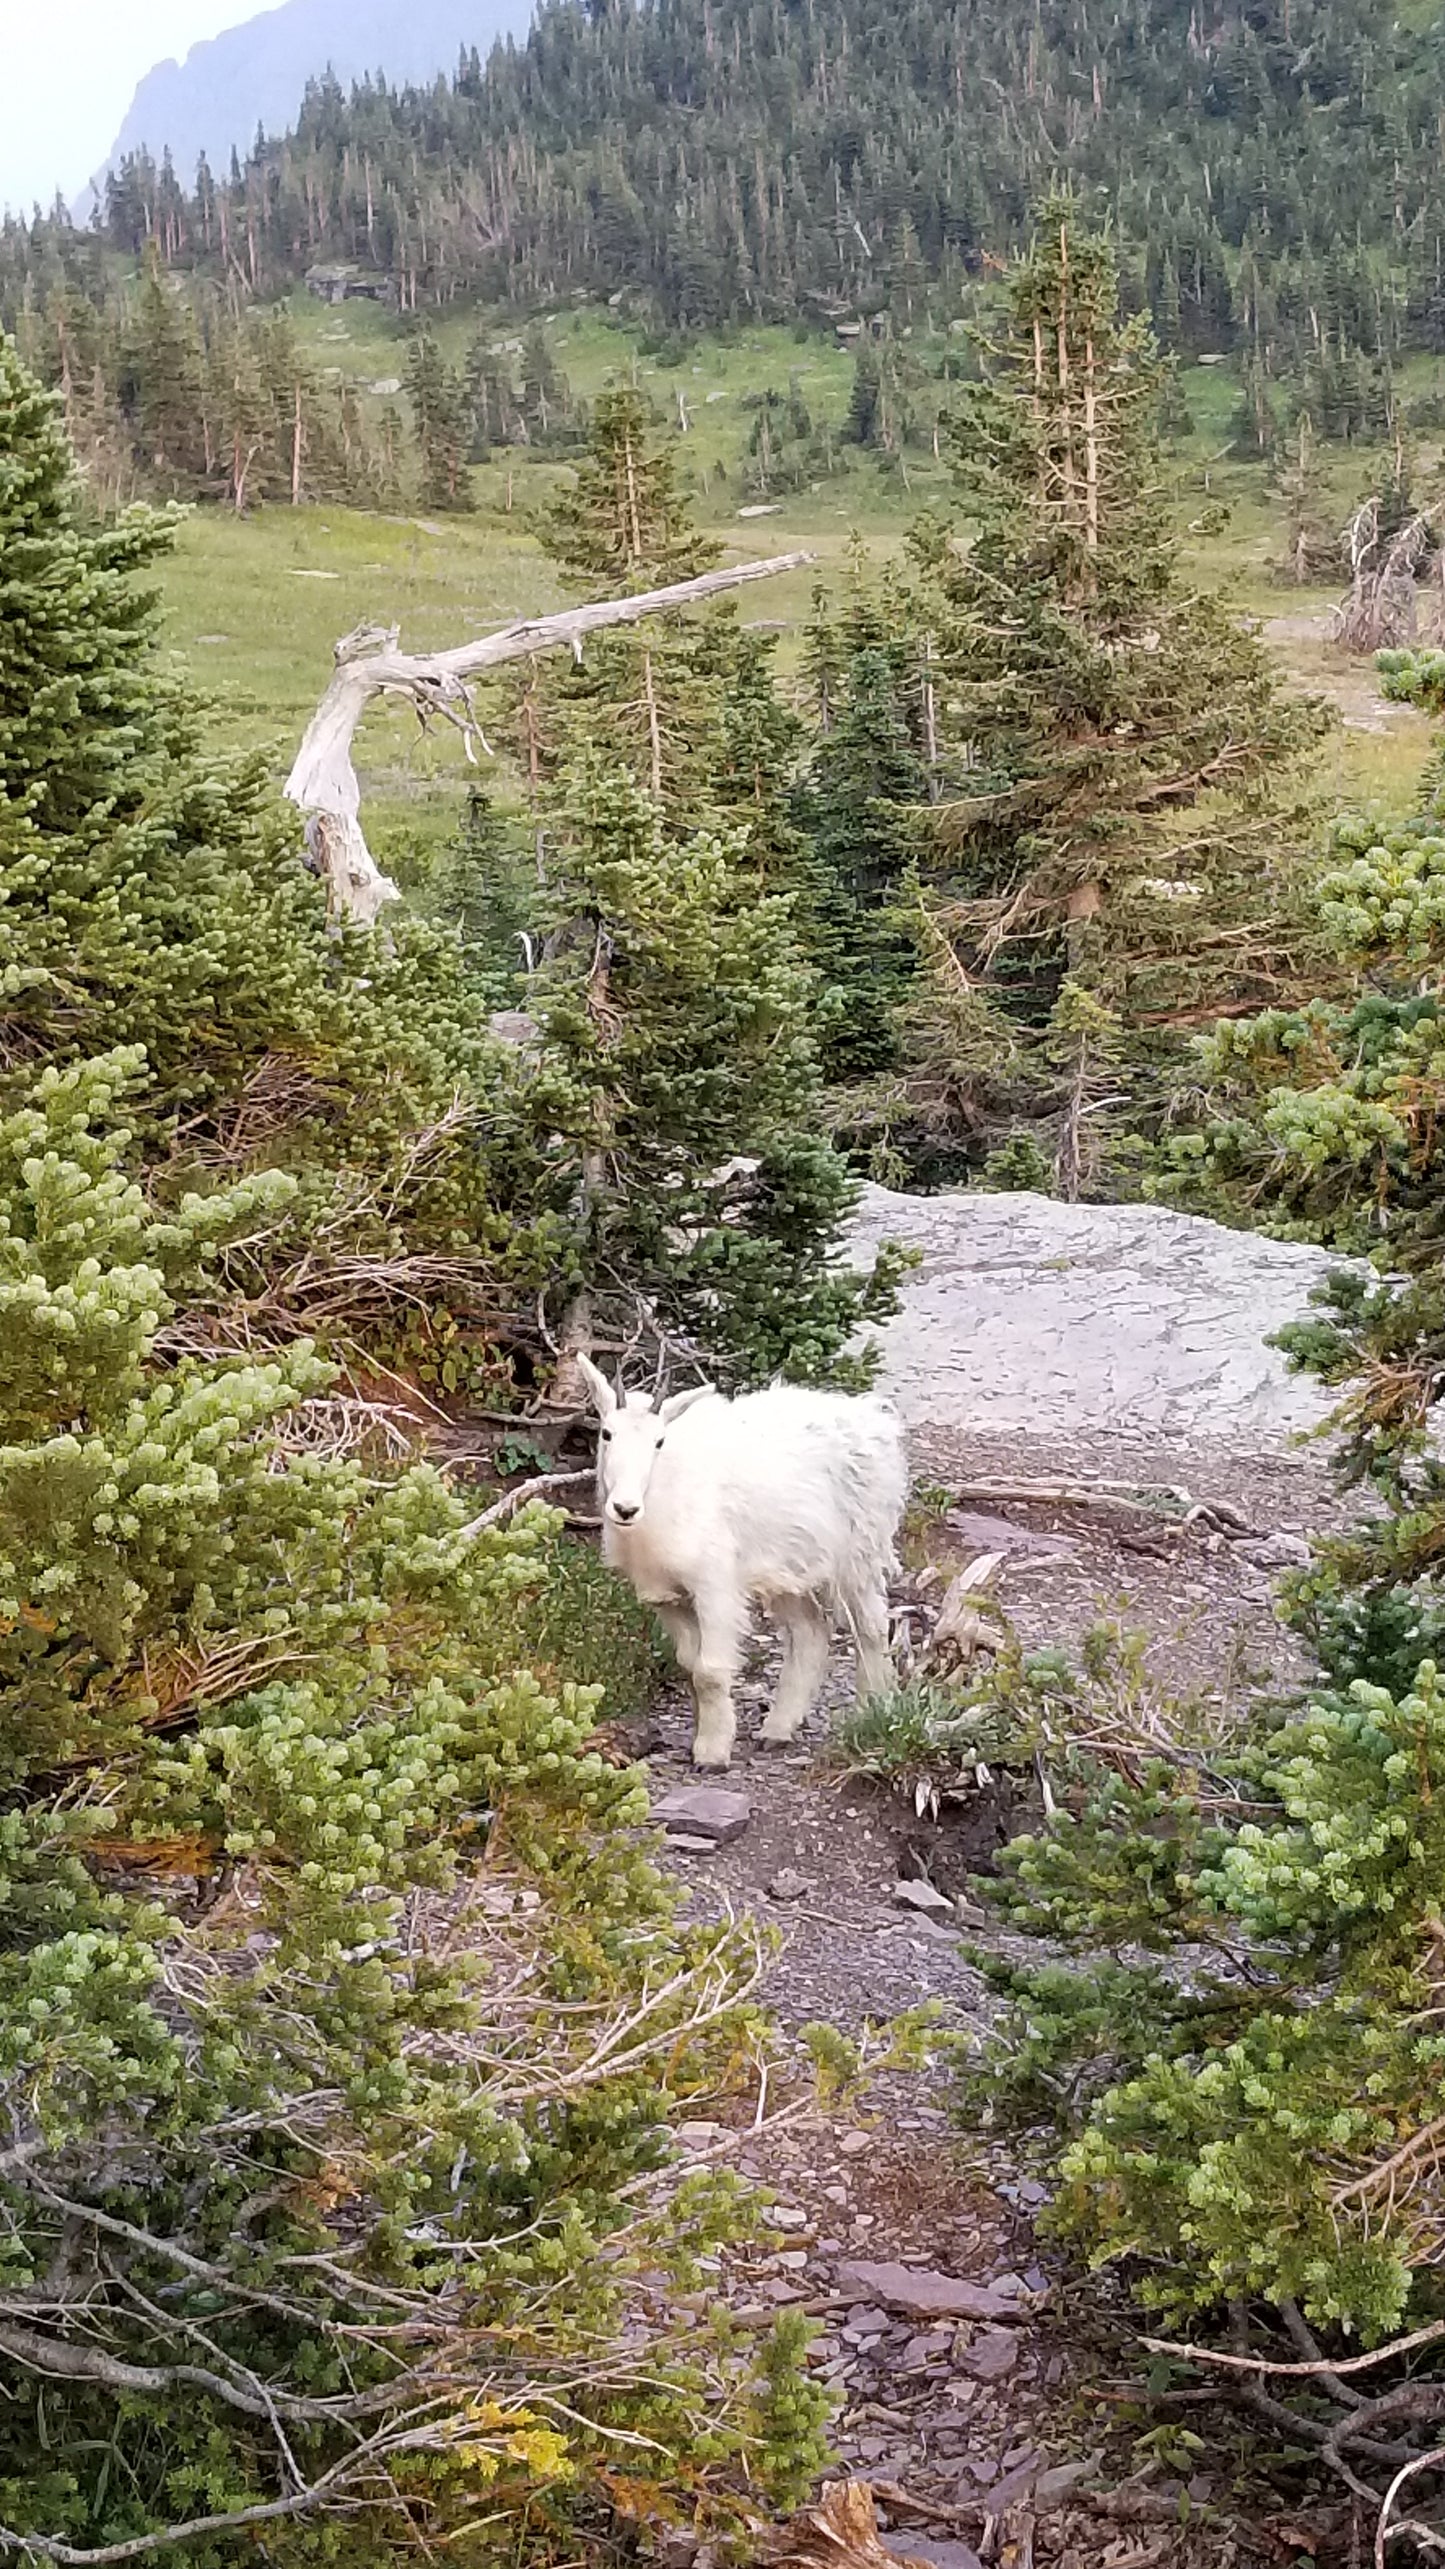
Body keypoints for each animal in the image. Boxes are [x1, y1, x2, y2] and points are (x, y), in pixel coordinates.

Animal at [573, 1366, 899, 1767]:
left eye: (659, 1441)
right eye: (606, 1433)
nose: (625, 1508)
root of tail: (873, 1418)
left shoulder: (715, 1586)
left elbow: (710, 1671)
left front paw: (712, 1752)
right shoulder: (670, 1597)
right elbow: (689, 1664)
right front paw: (702, 1735)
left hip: (860, 1554)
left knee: (871, 1627)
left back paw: (871, 1710)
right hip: (789, 1567)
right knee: (809, 1633)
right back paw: (777, 1730)